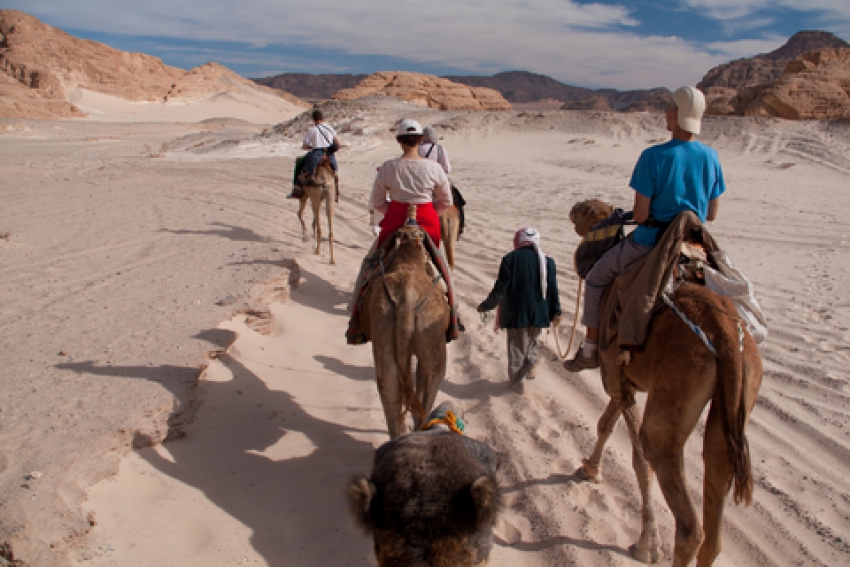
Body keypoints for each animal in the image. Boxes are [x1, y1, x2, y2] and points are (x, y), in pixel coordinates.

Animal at [576, 284, 760, 567]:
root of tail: (726, 334)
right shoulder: (624, 378)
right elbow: (606, 424)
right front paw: (591, 469)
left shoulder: (615, 371)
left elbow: (640, 460)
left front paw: (647, 545)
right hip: (739, 394)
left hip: (677, 382)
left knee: (688, 527)